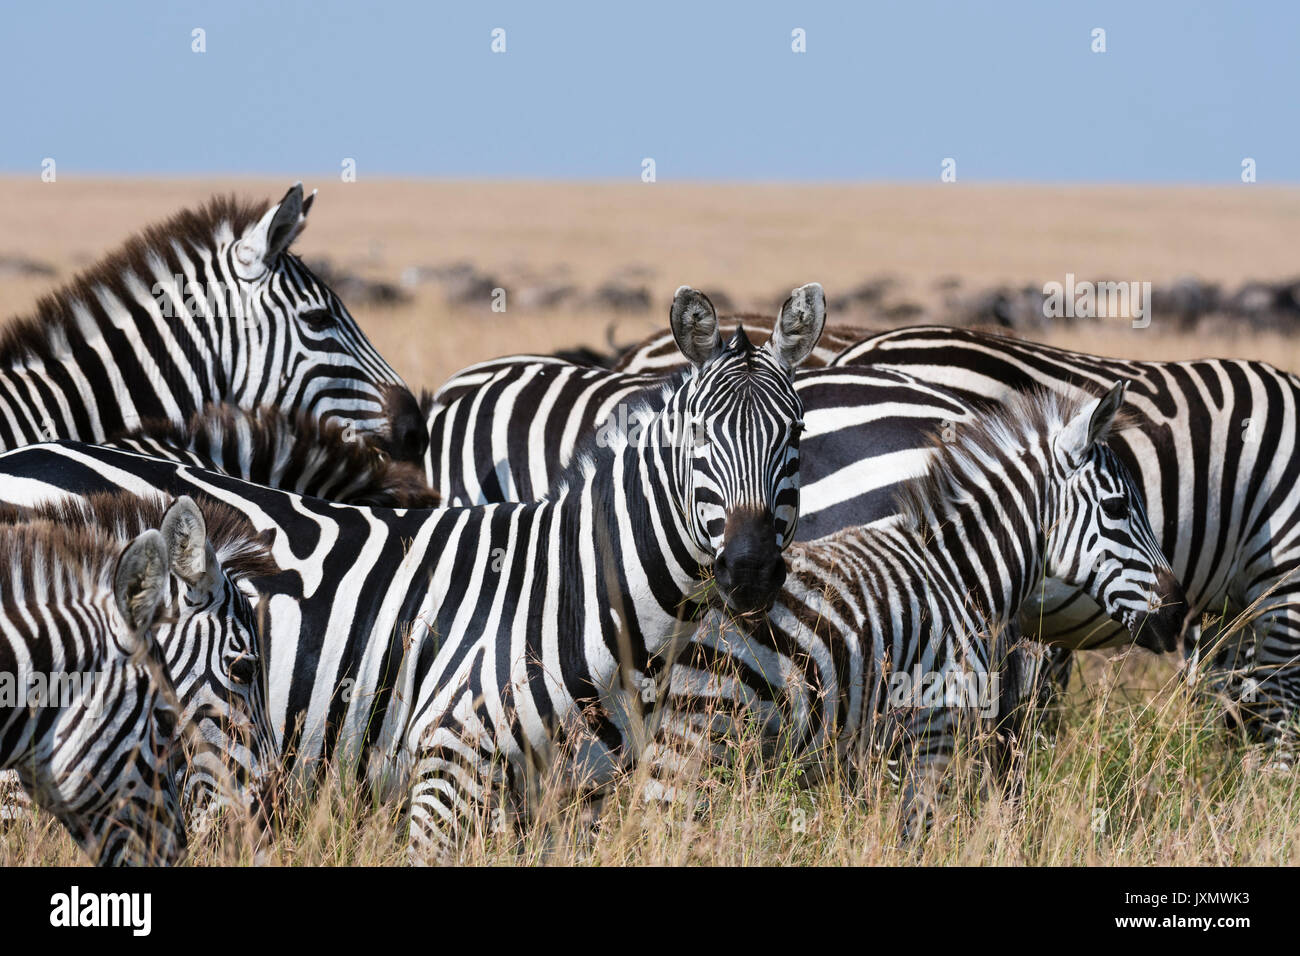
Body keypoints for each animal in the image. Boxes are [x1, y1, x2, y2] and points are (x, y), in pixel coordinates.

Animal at [642, 382, 1190, 832]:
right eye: (1118, 507)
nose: (1178, 612)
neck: (961, 573)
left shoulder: (874, 751)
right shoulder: (933, 733)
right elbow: (916, 834)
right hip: (711, 741)